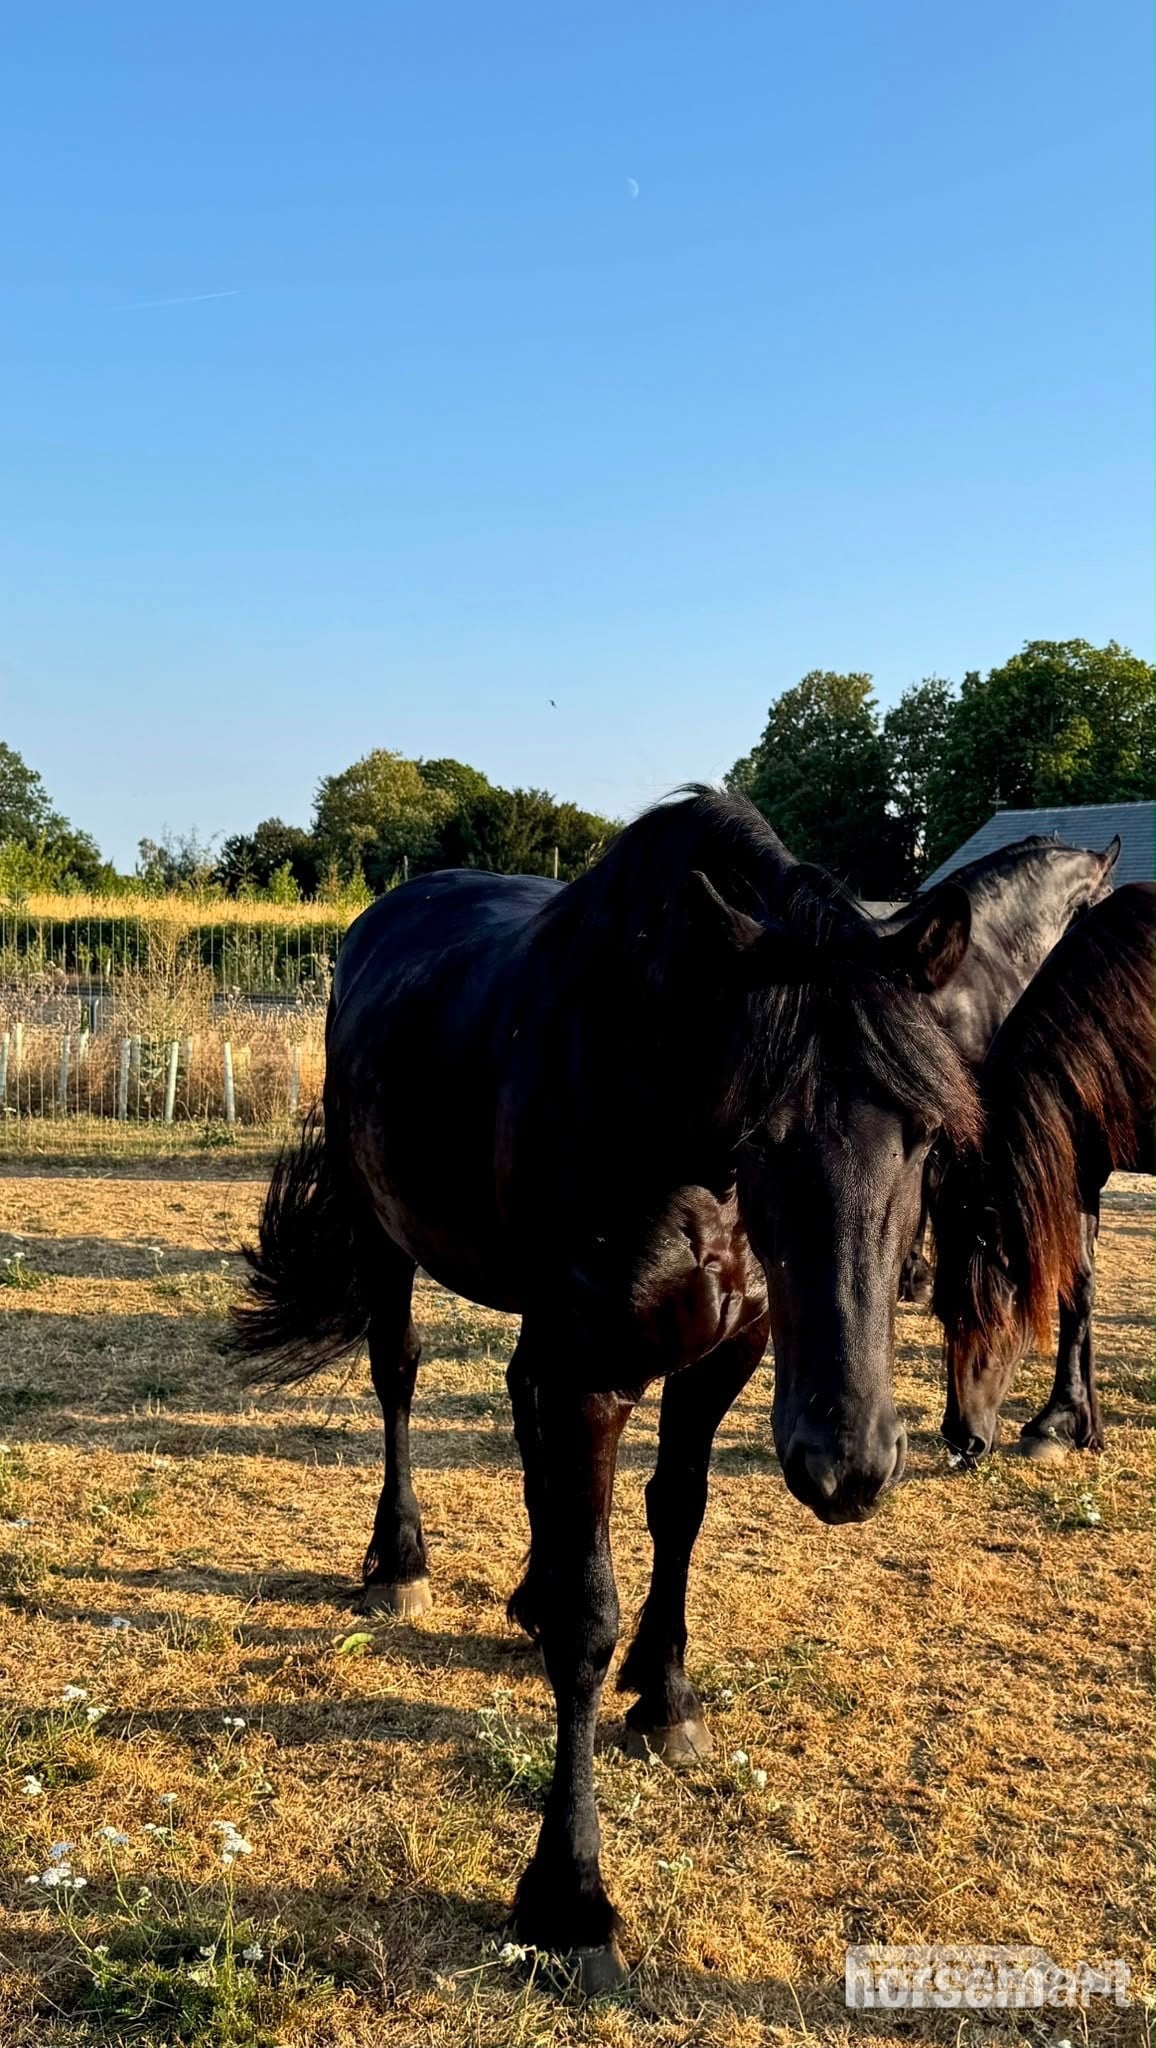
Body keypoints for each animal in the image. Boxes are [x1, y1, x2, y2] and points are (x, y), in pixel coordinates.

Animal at [233, 788, 978, 1987]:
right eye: (762, 1129)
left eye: (924, 1135)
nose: (847, 1463)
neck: (656, 1101)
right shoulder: (593, 1369)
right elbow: (590, 1617)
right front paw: (568, 1897)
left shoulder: (723, 1354)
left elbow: (675, 1511)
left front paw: (666, 1699)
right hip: (387, 1234)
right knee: (399, 1377)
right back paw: (401, 1562)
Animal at [933, 882, 1154, 1463]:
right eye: (941, 1312)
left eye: (990, 1314)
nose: (961, 1438)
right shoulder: (1080, 1171)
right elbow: (1077, 1290)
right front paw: (1064, 1421)